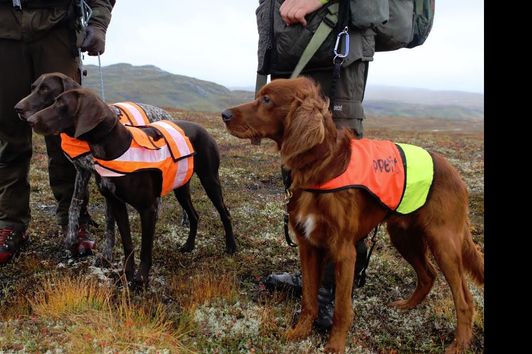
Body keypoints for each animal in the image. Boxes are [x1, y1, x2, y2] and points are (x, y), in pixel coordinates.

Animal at [22, 86, 235, 288]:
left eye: (61, 104)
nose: (29, 120)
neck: (113, 147)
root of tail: (203, 129)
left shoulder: (147, 209)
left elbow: (145, 250)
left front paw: (140, 279)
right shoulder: (116, 204)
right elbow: (127, 243)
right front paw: (127, 274)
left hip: (209, 180)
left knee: (224, 213)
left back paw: (231, 246)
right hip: (181, 186)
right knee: (194, 215)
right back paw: (189, 246)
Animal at [222, 78, 484, 354]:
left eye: (267, 100)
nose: (224, 115)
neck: (321, 166)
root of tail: (455, 173)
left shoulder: (343, 250)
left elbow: (341, 308)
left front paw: (335, 345)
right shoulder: (308, 246)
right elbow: (308, 299)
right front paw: (299, 332)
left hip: (443, 242)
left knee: (464, 299)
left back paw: (459, 344)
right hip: (403, 235)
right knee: (428, 275)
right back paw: (406, 306)